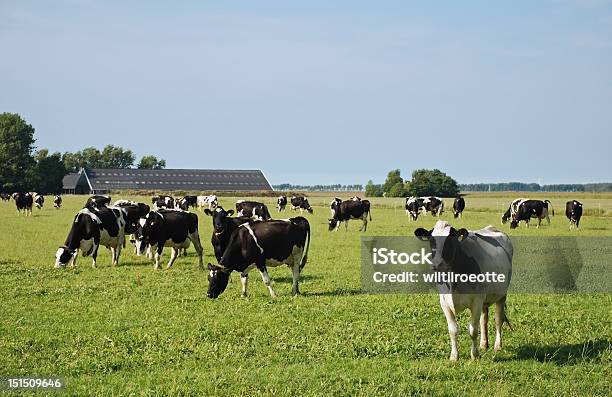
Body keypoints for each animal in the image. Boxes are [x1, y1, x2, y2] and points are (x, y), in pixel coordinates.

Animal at [414, 221, 512, 360]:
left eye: (450, 240)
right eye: (431, 240)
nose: (437, 264)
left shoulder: (476, 301)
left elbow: (473, 330)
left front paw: (475, 355)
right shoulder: (445, 303)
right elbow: (453, 330)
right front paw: (454, 356)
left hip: (501, 295)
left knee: (499, 320)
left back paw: (497, 345)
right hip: (484, 300)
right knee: (484, 319)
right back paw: (484, 343)